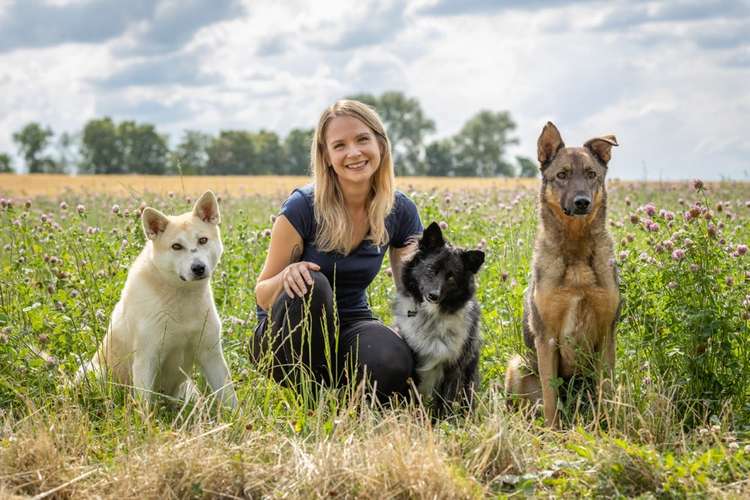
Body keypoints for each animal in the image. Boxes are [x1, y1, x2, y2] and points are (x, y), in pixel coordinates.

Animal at [77, 190, 236, 406]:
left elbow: (230, 397)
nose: (198, 268)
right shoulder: (146, 359)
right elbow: (144, 405)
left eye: (203, 240)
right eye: (176, 246)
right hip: (92, 372)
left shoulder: (211, 354)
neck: (181, 296)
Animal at [396, 222, 484, 414]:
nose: (433, 295)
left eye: (451, 277)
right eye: (431, 269)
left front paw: (441, 420)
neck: (432, 317)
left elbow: (445, 402)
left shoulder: (454, 368)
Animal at [506, 123, 624, 428]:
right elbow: (550, 399)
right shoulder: (546, 337)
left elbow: (606, 390)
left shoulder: (606, 335)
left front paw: (606, 429)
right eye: (562, 175)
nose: (582, 202)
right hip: (517, 365)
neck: (576, 249)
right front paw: (553, 432)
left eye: (591, 174)